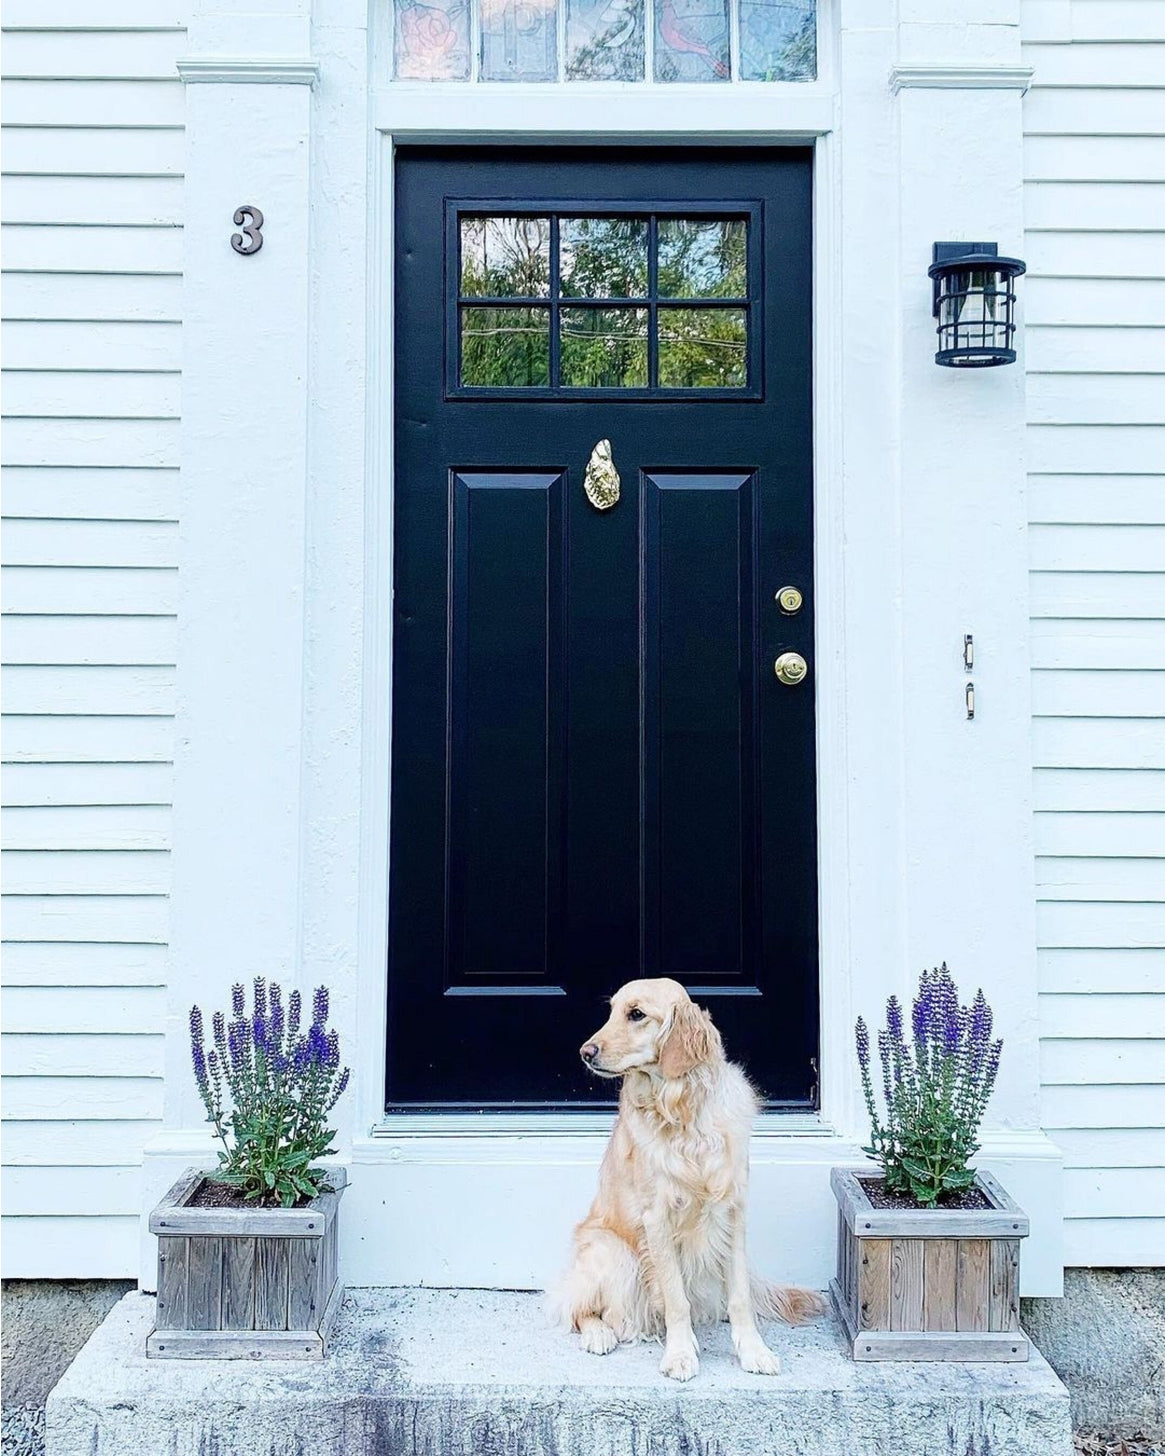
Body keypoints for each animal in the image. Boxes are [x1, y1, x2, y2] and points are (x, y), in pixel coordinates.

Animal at [550, 978, 821, 1374]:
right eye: (611, 1012)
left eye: (636, 1014)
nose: (585, 1052)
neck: (682, 1109)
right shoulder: (657, 1218)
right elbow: (676, 1298)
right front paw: (680, 1353)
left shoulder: (733, 1212)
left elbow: (739, 1296)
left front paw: (753, 1349)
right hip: (610, 1252)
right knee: (578, 1307)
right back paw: (599, 1334)